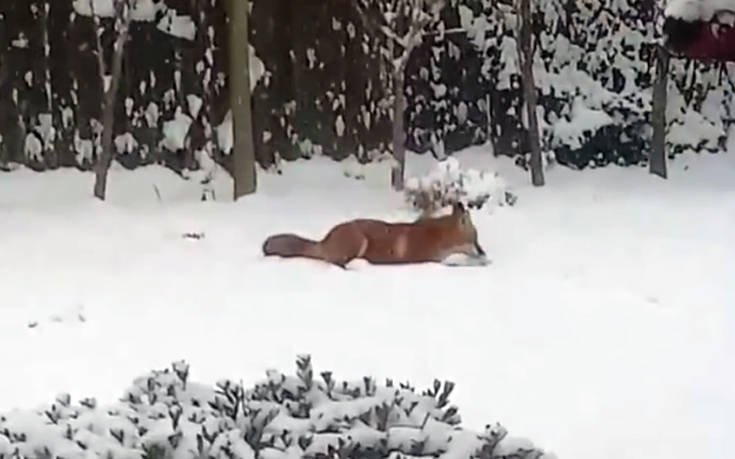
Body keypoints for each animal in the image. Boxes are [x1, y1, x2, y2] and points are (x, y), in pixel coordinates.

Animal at [262, 203, 486, 268]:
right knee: (336, 264)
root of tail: (324, 240)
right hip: (358, 240)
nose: (483, 253)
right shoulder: (429, 261)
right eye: (476, 240)